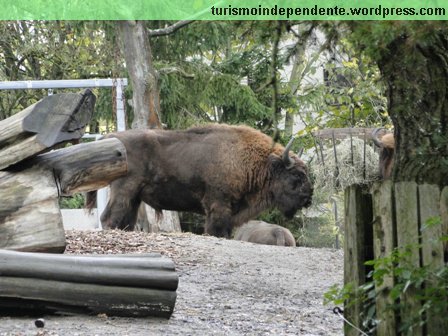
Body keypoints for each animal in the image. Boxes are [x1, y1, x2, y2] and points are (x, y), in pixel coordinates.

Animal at [86, 124, 314, 238]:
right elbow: (216, 231)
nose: (308, 197)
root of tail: (110, 137)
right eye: (297, 175)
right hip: (124, 191)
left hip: (134, 197)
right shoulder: (218, 205)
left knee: (125, 220)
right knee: (109, 218)